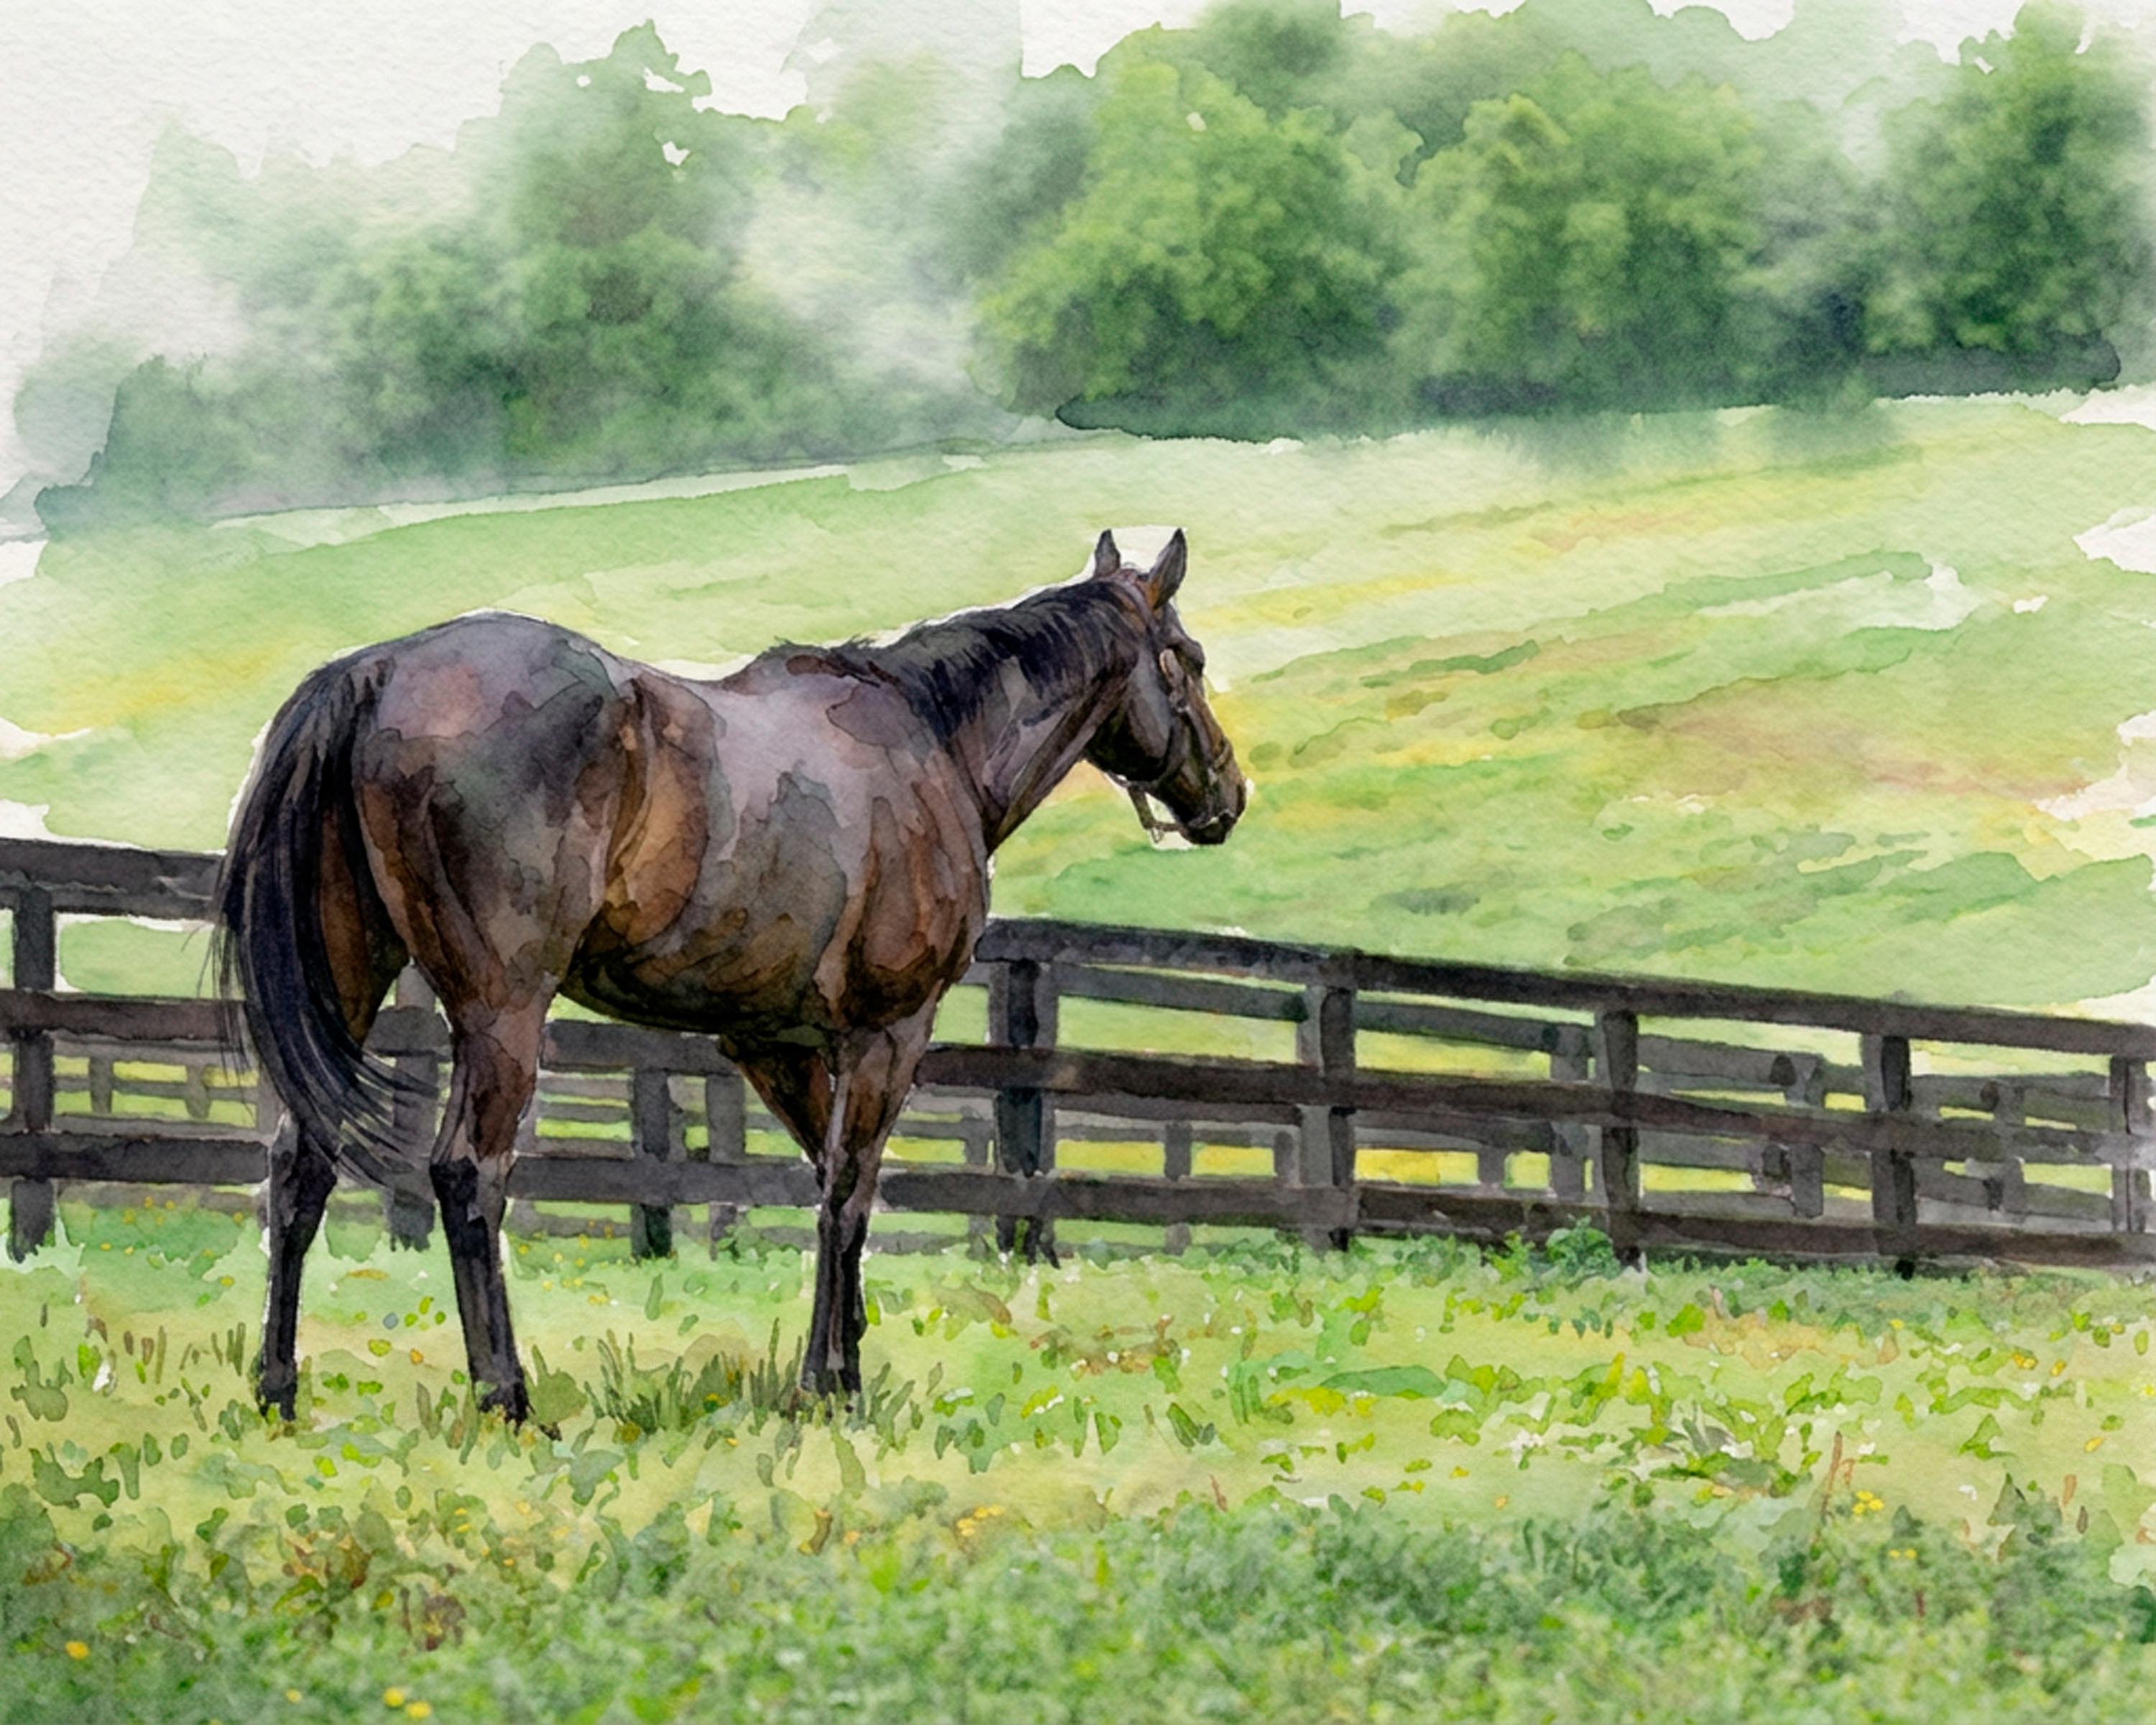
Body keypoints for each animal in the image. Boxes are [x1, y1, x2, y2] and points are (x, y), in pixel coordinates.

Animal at [217, 529, 1246, 1419]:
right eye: (1188, 658)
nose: (1227, 795)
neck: (930, 742)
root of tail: (377, 672)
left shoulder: (772, 1043)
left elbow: (831, 1181)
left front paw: (846, 1361)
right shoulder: (888, 1031)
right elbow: (847, 1194)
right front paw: (828, 1385)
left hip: (352, 978)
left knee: (300, 1168)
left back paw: (279, 1393)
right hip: (501, 1011)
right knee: (469, 1174)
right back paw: (507, 1399)